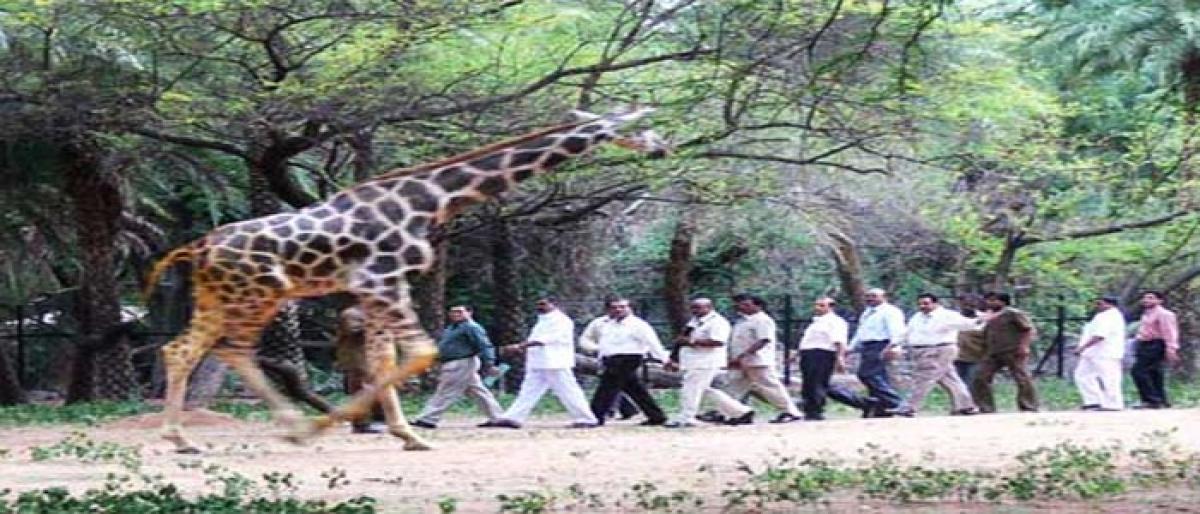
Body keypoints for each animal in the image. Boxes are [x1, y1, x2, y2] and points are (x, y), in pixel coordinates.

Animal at [145, 106, 672, 451]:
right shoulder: (383, 281)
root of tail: (200, 247)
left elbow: (385, 359)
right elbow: (420, 353)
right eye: (639, 126)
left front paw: (407, 434)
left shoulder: (376, 288)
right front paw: (360, 426)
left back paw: (182, 438)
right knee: (230, 350)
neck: (432, 201)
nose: (663, 146)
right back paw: (293, 427)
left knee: (182, 349)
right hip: (256, 295)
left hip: (221, 297)